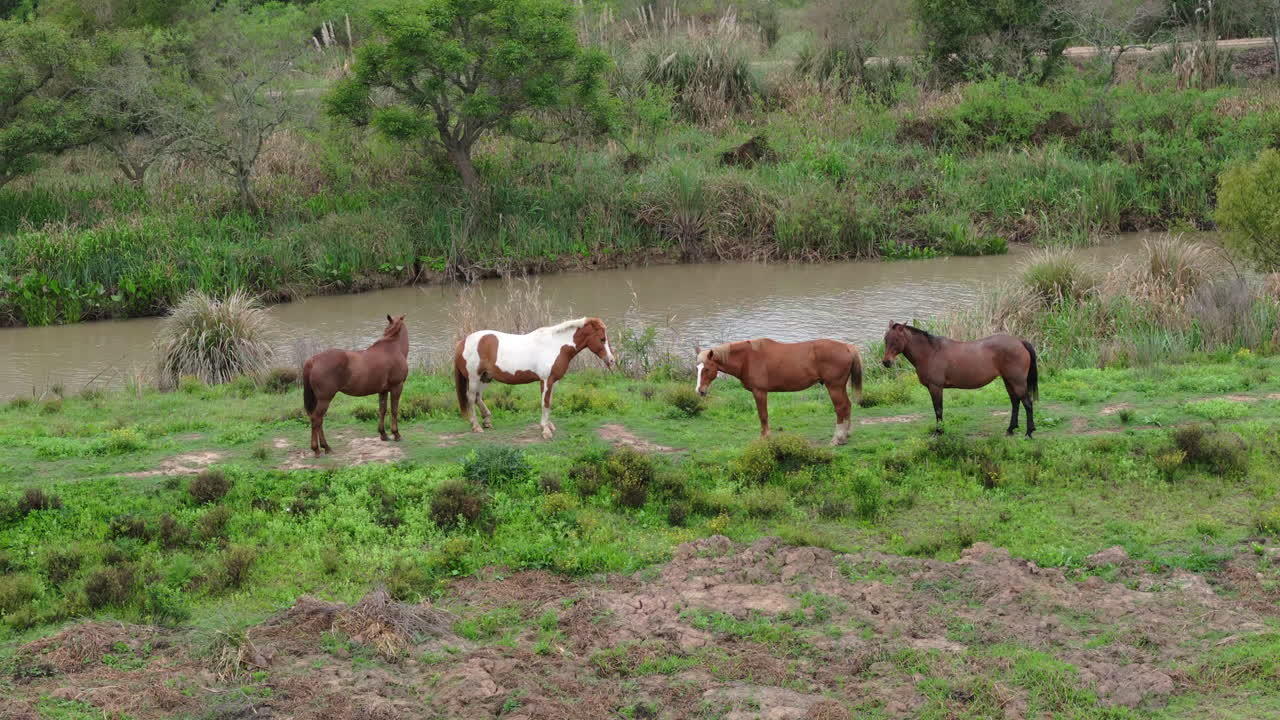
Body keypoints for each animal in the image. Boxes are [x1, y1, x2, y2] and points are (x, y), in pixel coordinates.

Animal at [302, 314, 409, 456]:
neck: (393, 348)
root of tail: (313, 360)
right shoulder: (397, 387)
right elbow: (394, 410)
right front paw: (396, 434)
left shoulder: (383, 390)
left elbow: (382, 410)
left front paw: (383, 434)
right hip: (325, 399)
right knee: (316, 419)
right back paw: (319, 449)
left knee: (318, 420)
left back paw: (325, 447)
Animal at [454, 317, 615, 440]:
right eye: (602, 339)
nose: (612, 360)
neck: (555, 345)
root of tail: (463, 342)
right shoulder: (546, 380)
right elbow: (545, 403)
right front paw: (545, 430)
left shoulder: (552, 381)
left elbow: (549, 402)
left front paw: (548, 425)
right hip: (474, 378)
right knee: (471, 398)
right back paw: (476, 426)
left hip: (485, 377)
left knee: (478, 397)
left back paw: (487, 420)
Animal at [695, 338, 864, 445]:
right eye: (697, 368)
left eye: (707, 369)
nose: (700, 391)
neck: (747, 358)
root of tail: (847, 347)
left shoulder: (760, 392)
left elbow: (763, 415)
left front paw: (765, 438)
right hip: (839, 386)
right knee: (847, 406)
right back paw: (846, 434)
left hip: (834, 386)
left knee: (841, 408)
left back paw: (838, 438)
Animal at [881, 322, 1038, 437]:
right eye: (885, 339)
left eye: (896, 340)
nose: (886, 362)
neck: (930, 352)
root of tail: (1020, 342)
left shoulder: (935, 387)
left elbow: (938, 410)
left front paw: (939, 432)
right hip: (1008, 381)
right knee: (1015, 402)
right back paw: (1011, 429)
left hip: (1017, 382)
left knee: (1027, 403)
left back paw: (1028, 433)